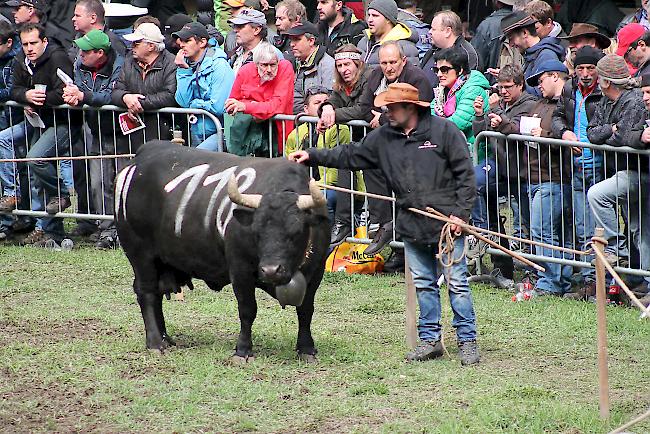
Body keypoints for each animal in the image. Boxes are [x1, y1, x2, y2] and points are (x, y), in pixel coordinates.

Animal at [112, 142, 330, 360]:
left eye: (296, 230)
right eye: (256, 231)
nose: (270, 270)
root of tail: (140, 157)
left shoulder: (317, 271)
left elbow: (305, 310)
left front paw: (306, 348)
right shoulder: (240, 270)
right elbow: (247, 309)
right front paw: (243, 350)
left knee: (156, 293)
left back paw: (166, 338)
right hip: (140, 255)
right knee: (147, 292)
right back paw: (156, 342)